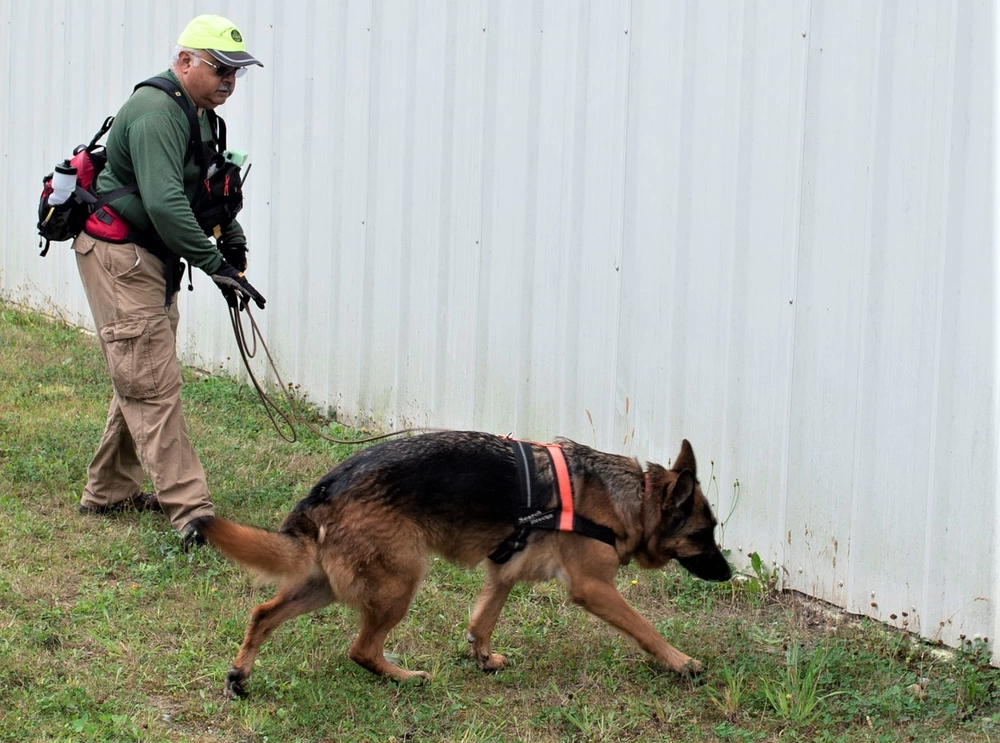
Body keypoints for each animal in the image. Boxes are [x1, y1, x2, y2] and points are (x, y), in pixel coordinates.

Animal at [189, 430, 736, 696]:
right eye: (703, 535)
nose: (729, 574)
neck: (632, 499)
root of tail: (325, 487)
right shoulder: (595, 588)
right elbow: (645, 628)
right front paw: (680, 662)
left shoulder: (503, 571)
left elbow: (482, 619)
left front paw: (481, 657)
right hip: (401, 582)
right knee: (360, 649)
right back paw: (404, 678)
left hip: (324, 584)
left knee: (263, 614)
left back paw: (239, 675)